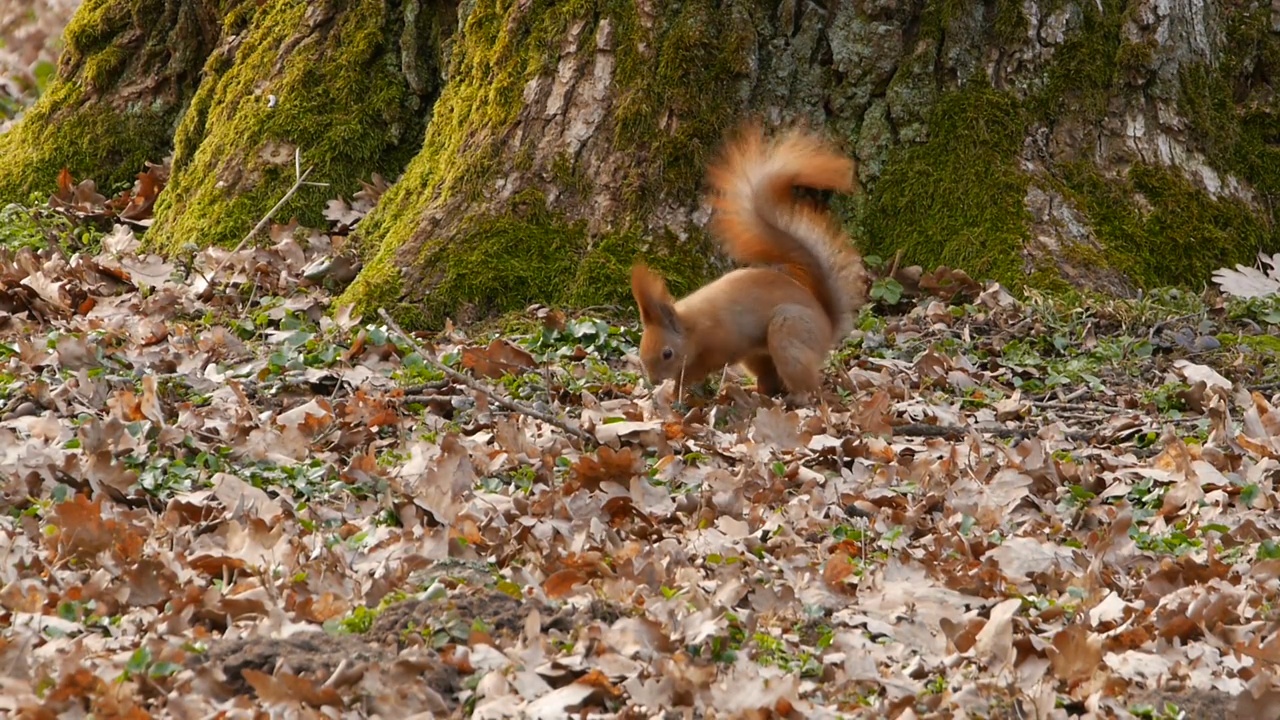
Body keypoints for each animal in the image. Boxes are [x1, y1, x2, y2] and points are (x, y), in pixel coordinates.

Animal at [629, 117, 870, 397]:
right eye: (641, 349)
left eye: (667, 353)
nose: (654, 379)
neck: (691, 327)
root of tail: (827, 326)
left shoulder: (721, 343)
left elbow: (702, 367)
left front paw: (677, 388)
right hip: (758, 356)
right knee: (770, 380)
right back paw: (755, 390)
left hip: (788, 334)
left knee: (809, 385)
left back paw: (796, 397)